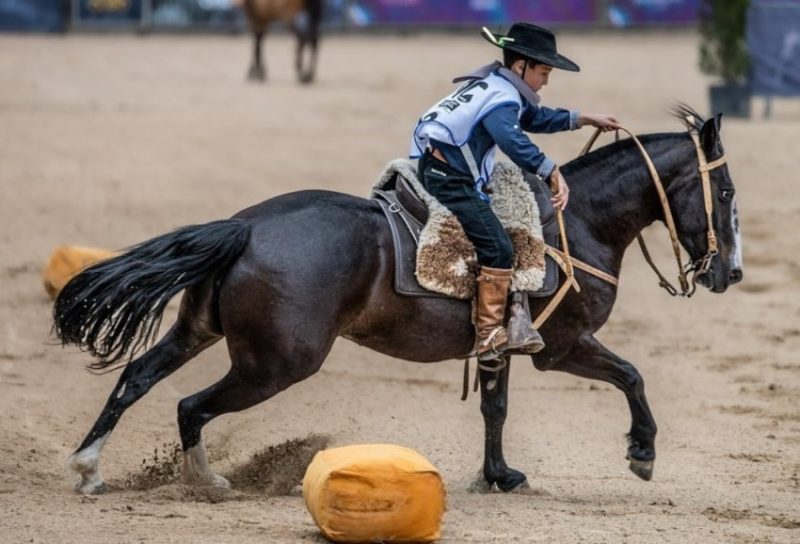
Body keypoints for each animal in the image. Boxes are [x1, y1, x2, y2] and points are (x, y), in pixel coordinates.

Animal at [56, 106, 744, 492]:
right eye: (728, 193)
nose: (731, 274)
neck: (577, 225)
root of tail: (244, 226)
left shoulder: (499, 347)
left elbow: (494, 410)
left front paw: (498, 476)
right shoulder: (564, 346)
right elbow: (631, 375)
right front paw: (642, 453)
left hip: (200, 330)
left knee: (137, 377)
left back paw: (89, 467)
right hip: (274, 364)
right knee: (191, 406)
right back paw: (207, 482)